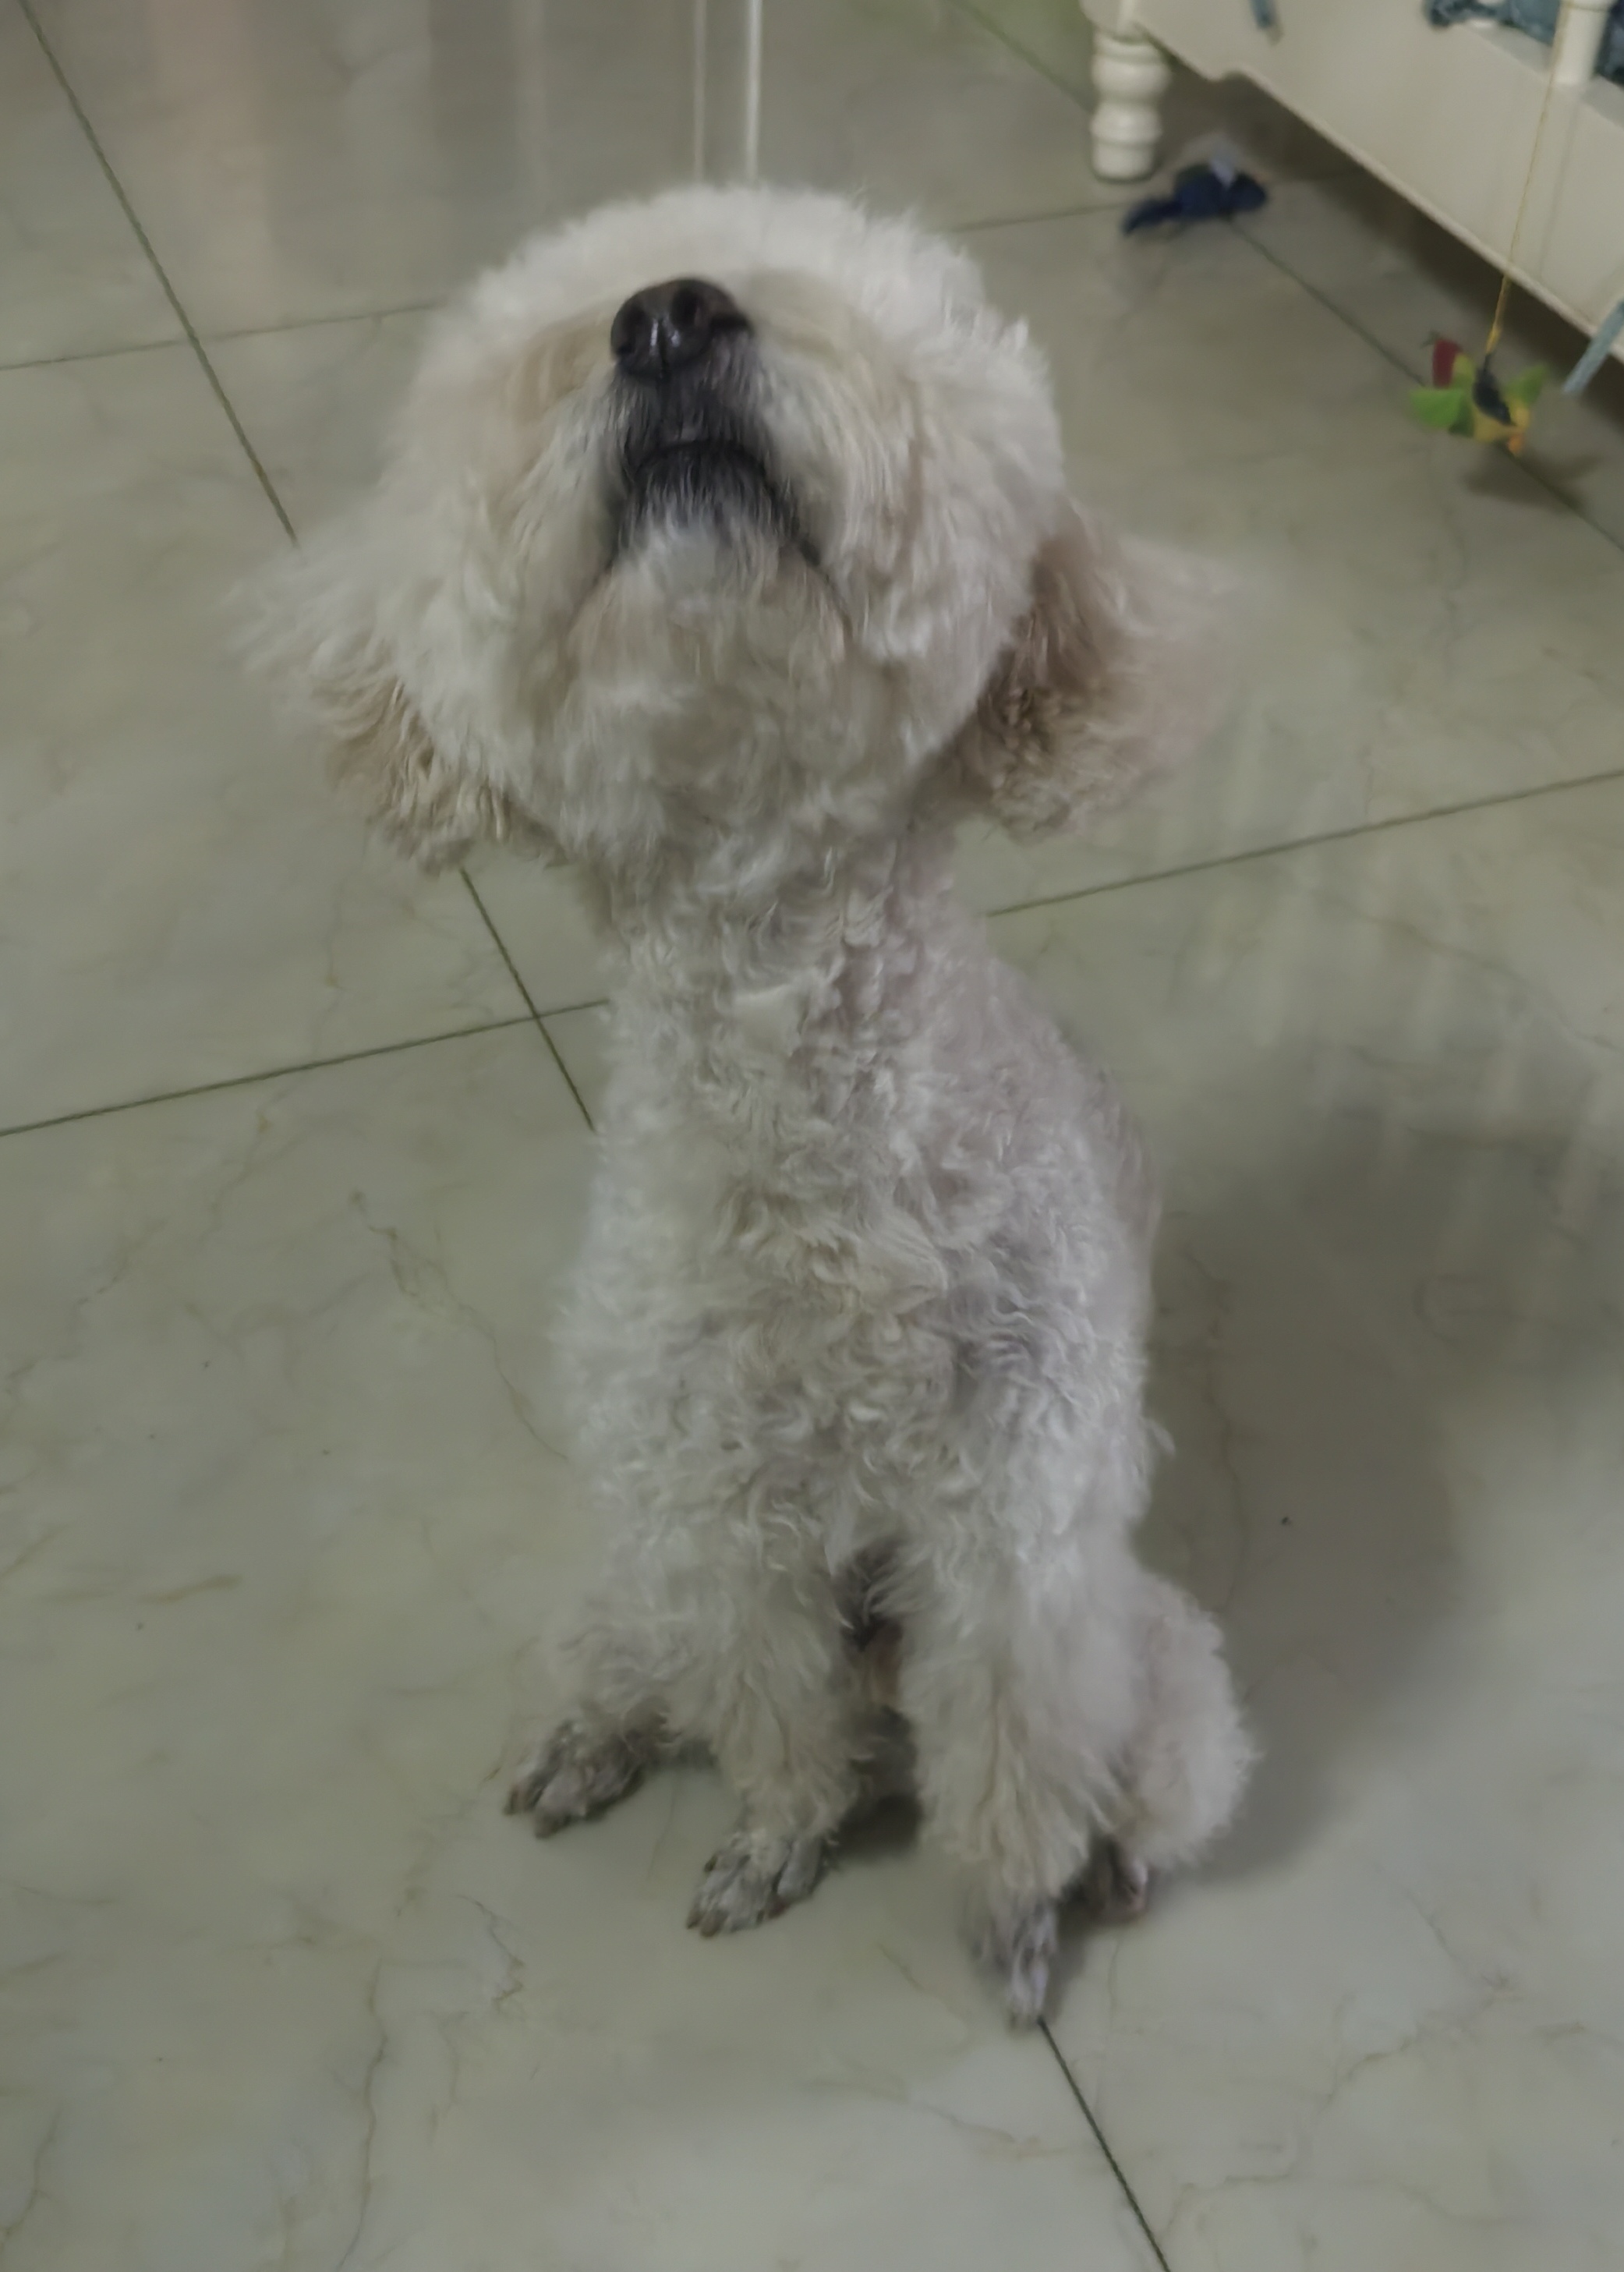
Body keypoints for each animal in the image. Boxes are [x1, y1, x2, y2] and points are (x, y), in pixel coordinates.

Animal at [247, 185, 1253, 2021]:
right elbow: (773, 1718)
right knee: (669, 1665)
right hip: (640, 1562)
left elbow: (1010, 1758)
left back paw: (1112, 1863)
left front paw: (1013, 1915)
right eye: (552, 319)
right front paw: (779, 1838)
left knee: (1127, 1768)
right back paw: (592, 1737)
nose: (664, 317)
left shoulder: (1011, 1549)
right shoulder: (717, 1517)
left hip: (1153, 1662)